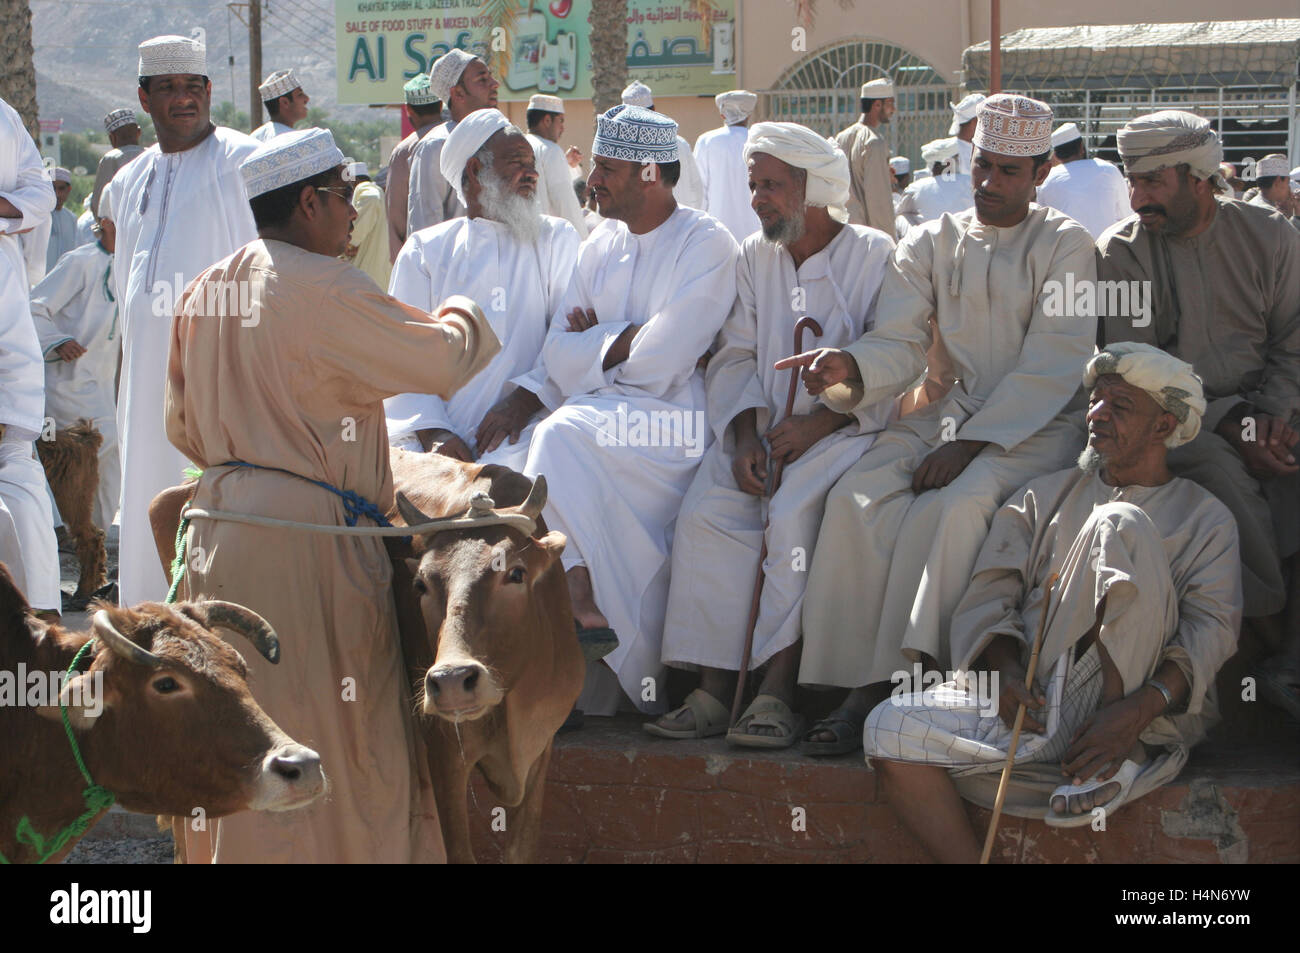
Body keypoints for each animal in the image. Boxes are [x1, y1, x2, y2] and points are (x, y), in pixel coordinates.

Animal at [390, 449, 585, 868]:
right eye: (420, 584)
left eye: (516, 573)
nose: (451, 681)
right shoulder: (445, 752)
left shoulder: (541, 743)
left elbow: (521, 848)